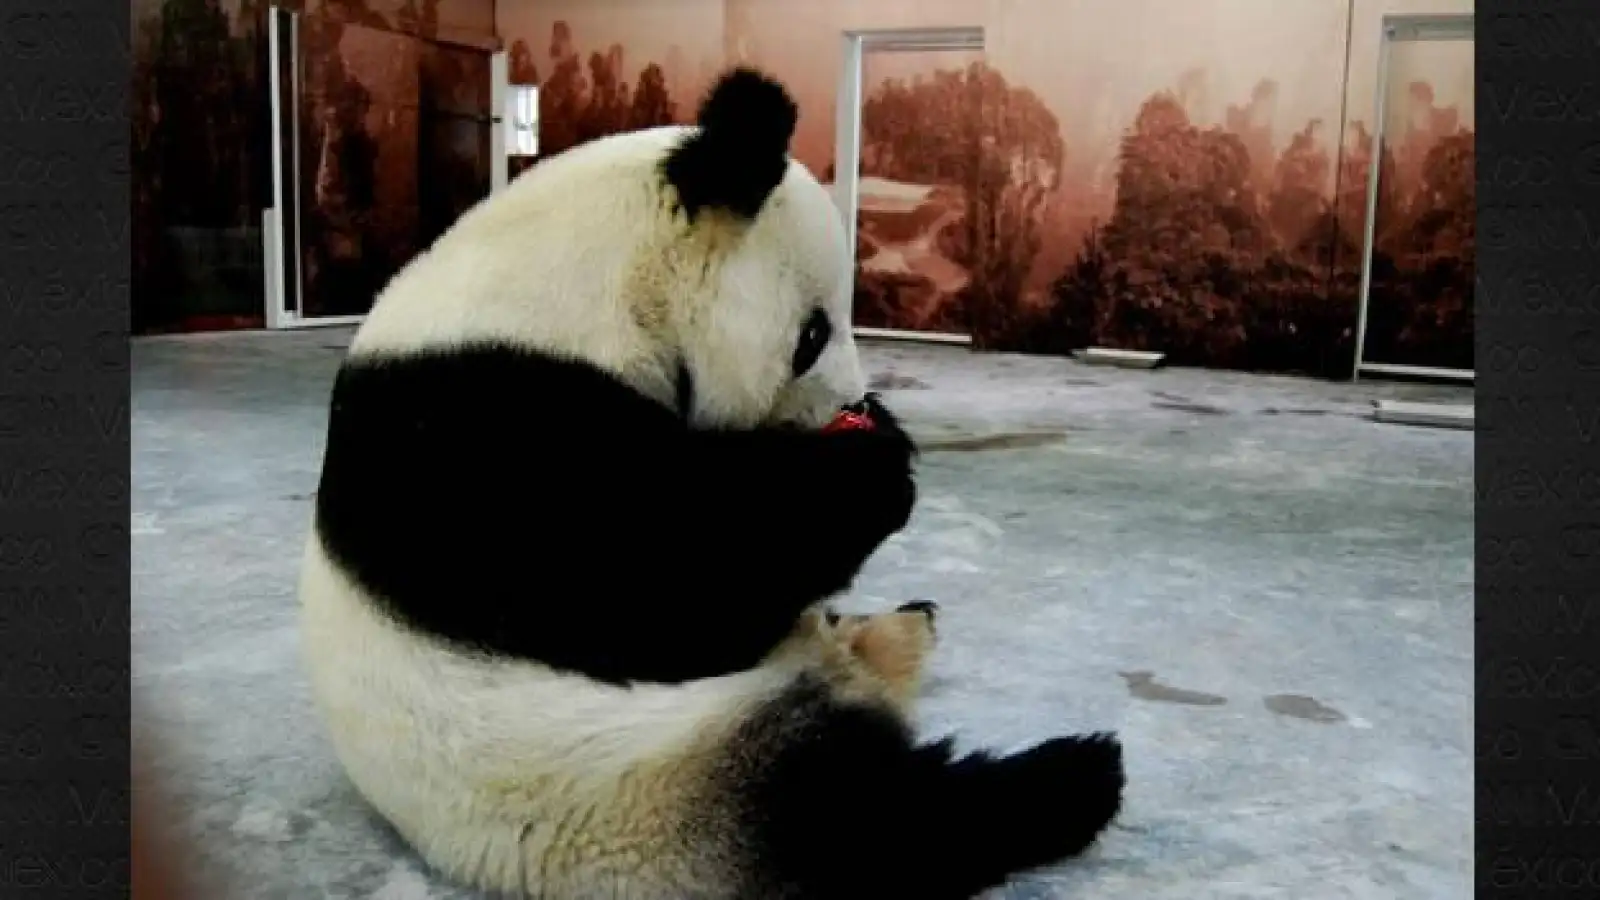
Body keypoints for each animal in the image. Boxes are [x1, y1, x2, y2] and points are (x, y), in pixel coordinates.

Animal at [298, 67, 1125, 900]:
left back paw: (908, 625)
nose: (850, 405)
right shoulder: (480, 435)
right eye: (812, 335)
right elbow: (667, 589)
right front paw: (875, 468)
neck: (579, 283)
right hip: (644, 782)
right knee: (861, 818)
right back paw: (1077, 774)